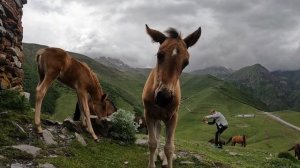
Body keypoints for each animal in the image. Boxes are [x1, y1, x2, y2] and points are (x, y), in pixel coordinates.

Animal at [143, 25, 202, 168]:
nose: (164, 97)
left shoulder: (173, 116)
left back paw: (164, 160)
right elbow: (152, 143)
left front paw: (166, 160)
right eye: (159, 55)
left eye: (186, 62)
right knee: (158, 135)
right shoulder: (148, 114)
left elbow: (169, 147)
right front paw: (151, 162)